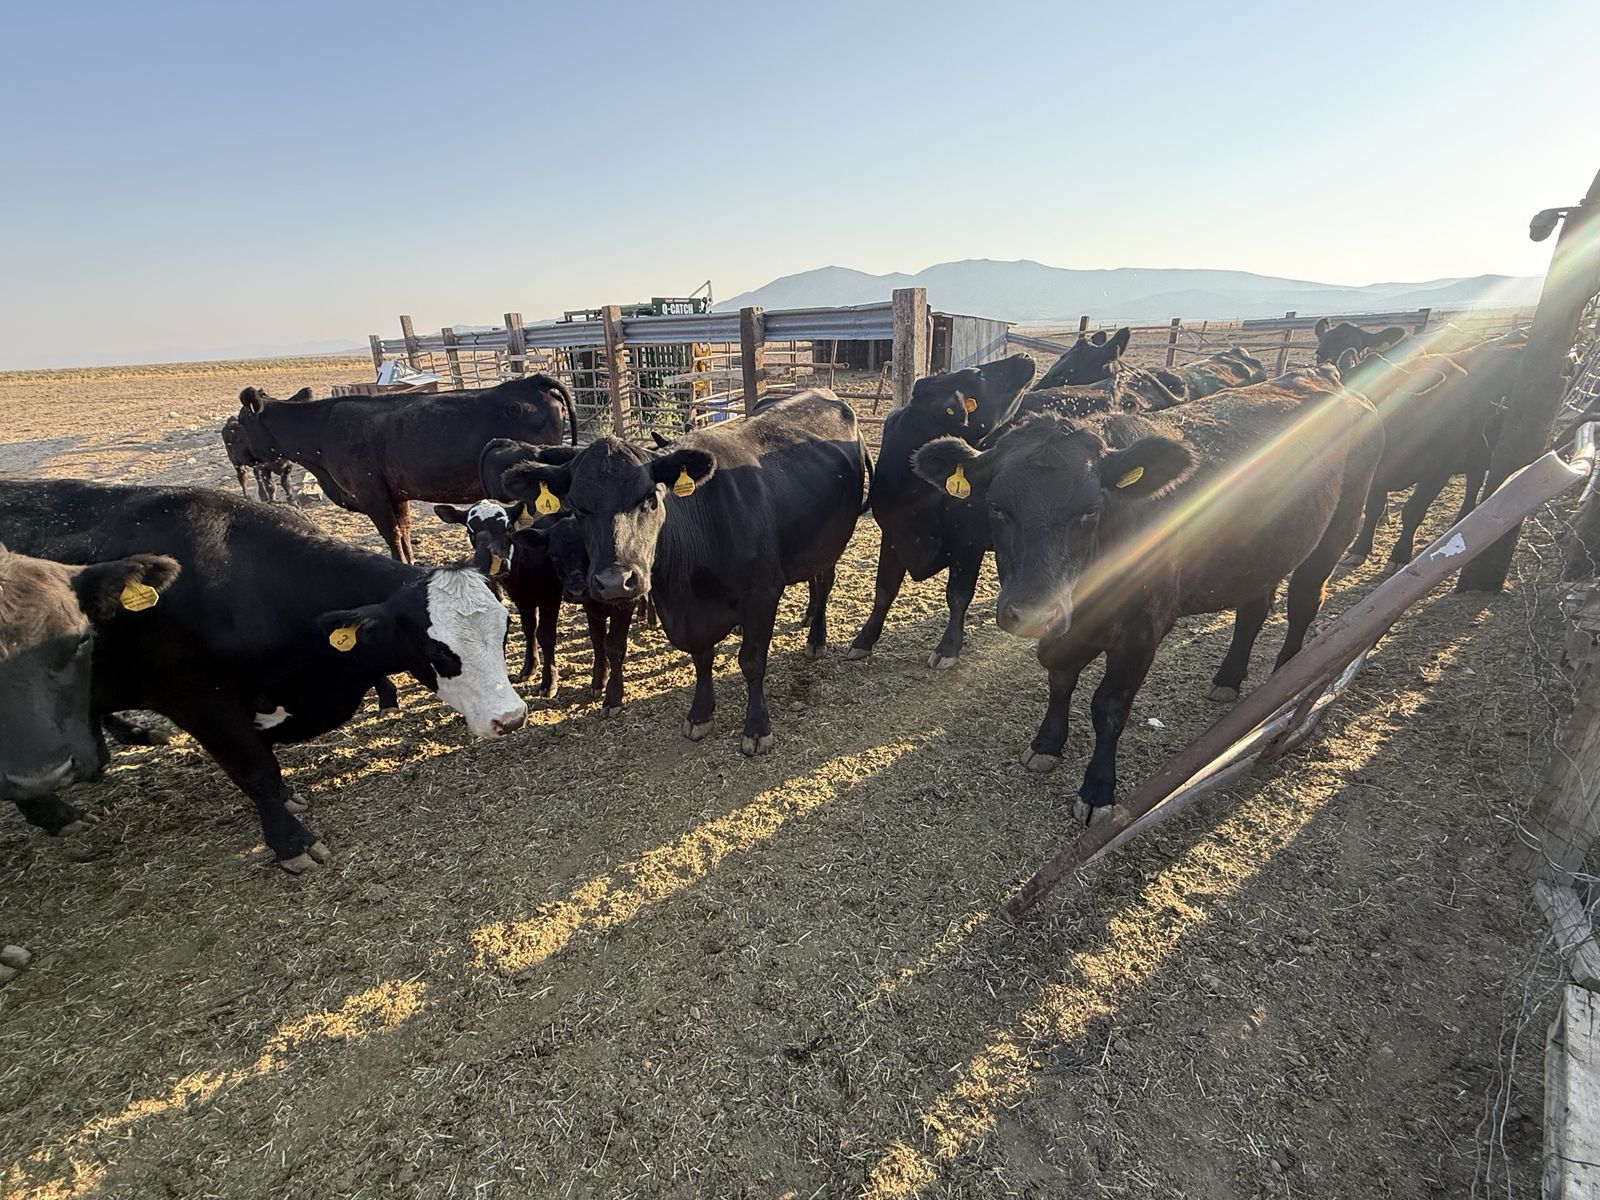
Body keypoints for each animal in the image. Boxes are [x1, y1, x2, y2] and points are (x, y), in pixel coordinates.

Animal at [235, 373, 578, 563]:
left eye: (240, 421)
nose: (240, 456)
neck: (321, 429)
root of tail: (532, 381)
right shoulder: (396, 495)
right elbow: (404, 530)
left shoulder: (372, 495)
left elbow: (391, 535)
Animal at [501, 390, 869, 754]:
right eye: (577, 507)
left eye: (650, 497)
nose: (616, 582)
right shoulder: (690, 615)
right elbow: (701, 658)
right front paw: (700, 714)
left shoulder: (761, 596)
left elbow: (751, 662)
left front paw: (756, 728)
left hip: (831, 542)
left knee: (824, 583)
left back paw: (816, 639)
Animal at [846, 355, 1036, 667]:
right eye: (978, 374)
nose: (1025, 356)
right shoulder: (892, 536)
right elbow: (884, 591)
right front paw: (863, 640)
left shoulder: (968, 544)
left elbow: (958, 595)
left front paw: (947, 648)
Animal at [912, 368, 1383, 824]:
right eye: (996, 506)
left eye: (1090, 510)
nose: (1033, 613)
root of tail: (1325, 377)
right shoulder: (1066, 628)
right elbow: (1060, 678)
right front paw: (1047, 744)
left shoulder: (1143, 628)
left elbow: (1109, 707)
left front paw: (1098, 790)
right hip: (1261, 552)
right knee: (1253, 610)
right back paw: (1228, 679)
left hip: (1335, 532)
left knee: (1304, 602)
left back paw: (1288, 678)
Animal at [1337, 333, 1524, 569]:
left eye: (1384, 396)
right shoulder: (1377, 475)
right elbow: (1373, 509)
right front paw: (1358, 550)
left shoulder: (1438, 471)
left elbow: (1413, 511)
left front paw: (1400, 555)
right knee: (1474, 481)